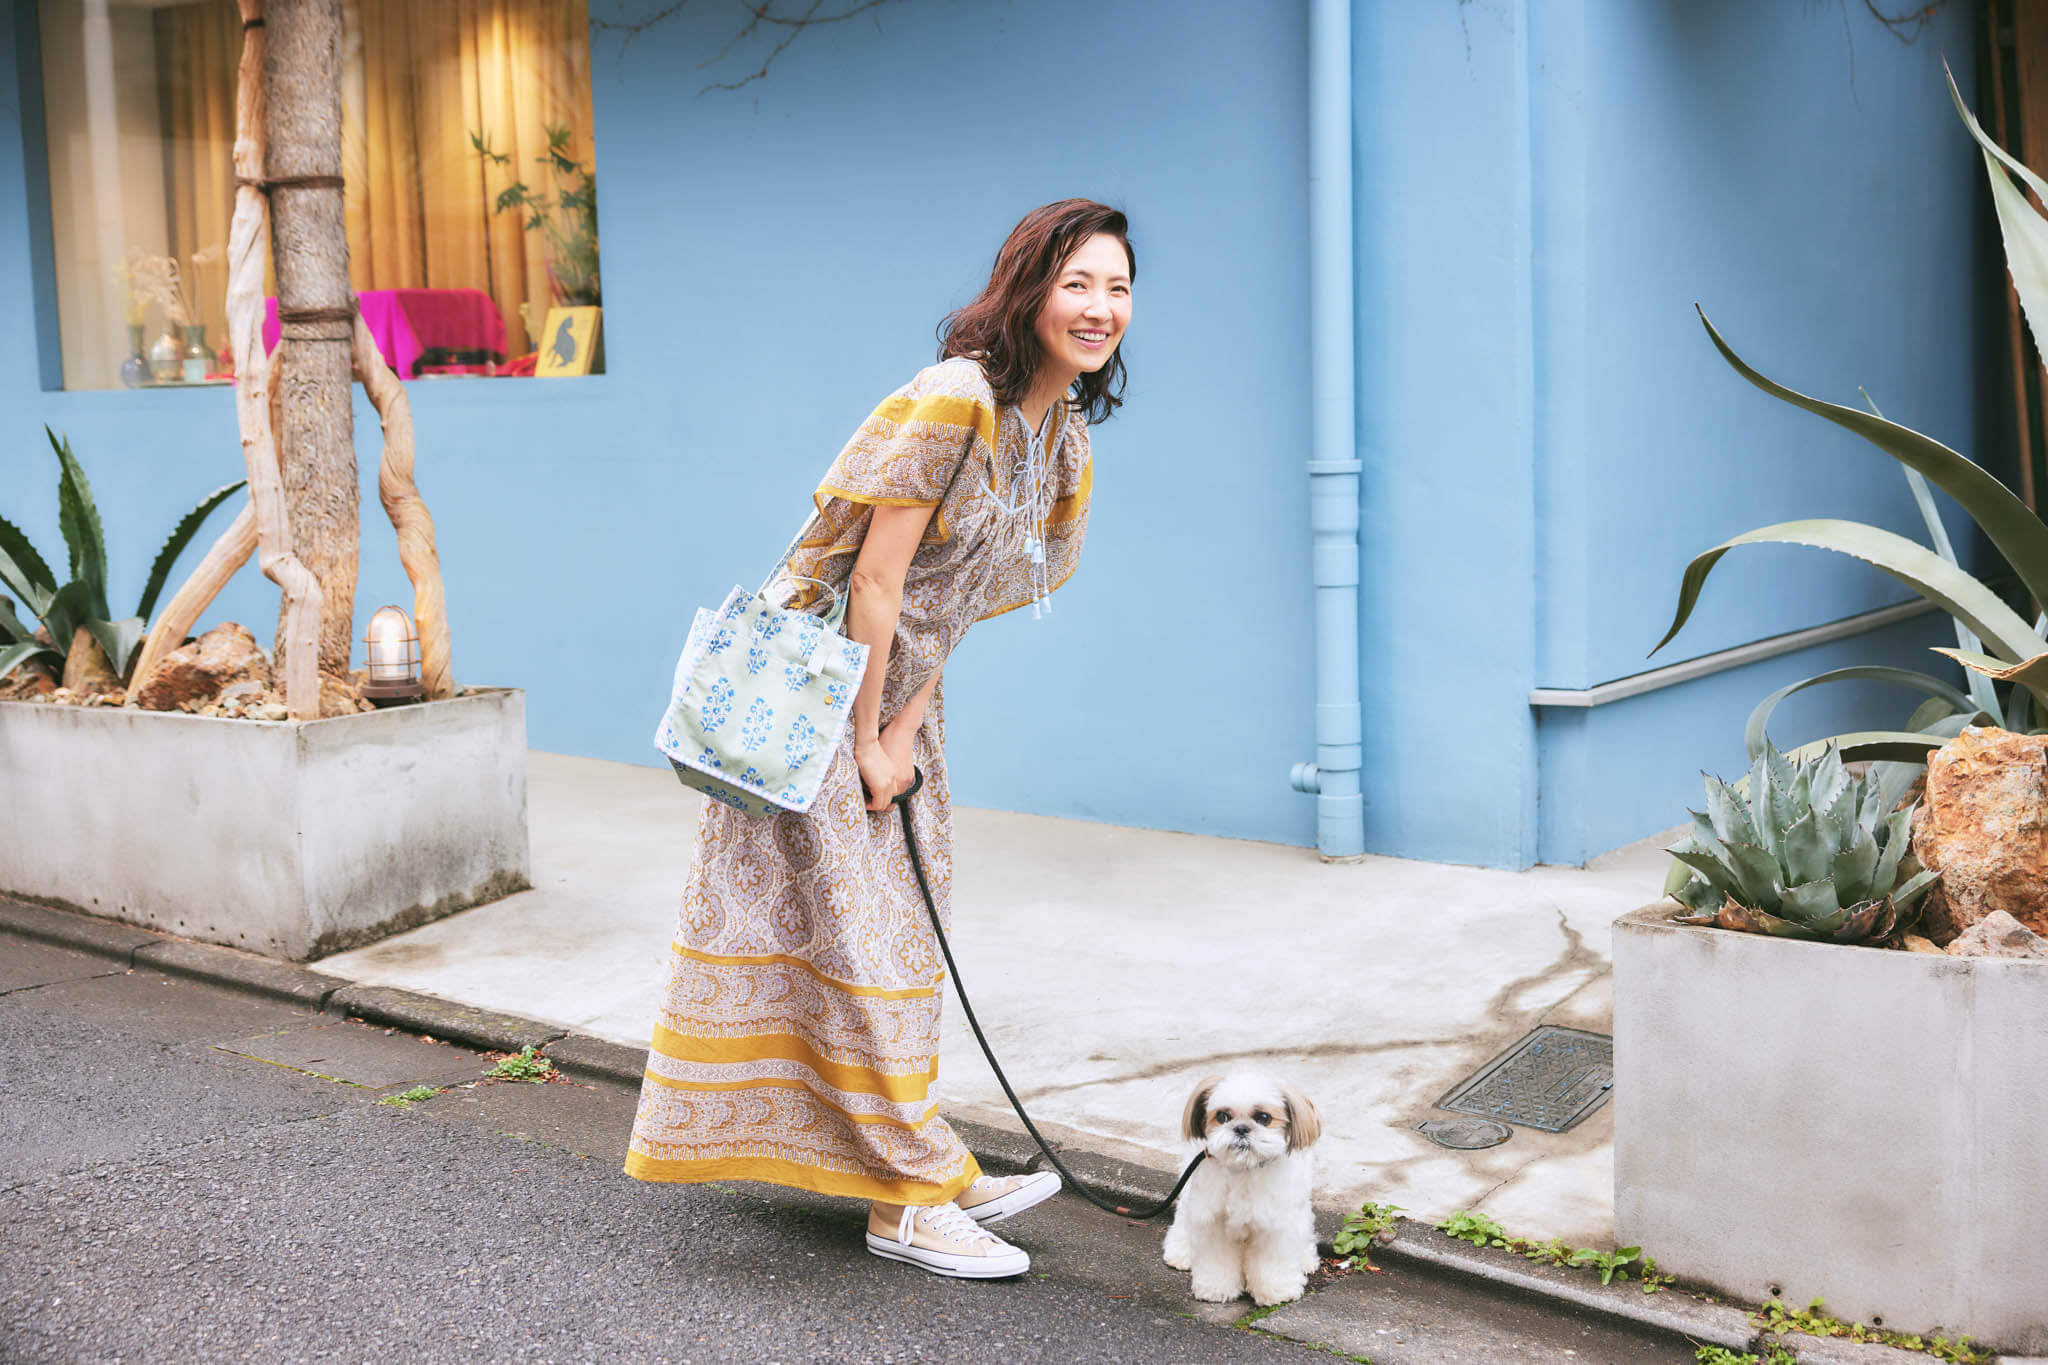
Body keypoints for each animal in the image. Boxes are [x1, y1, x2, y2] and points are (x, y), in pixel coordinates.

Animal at [1163, 1072, 1318, 1309]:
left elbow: (1273, 1262)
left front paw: (1277, 1290)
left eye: (1263, 1117)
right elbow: (1217, 1260)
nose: (1241, 1128)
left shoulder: (1277, 1225)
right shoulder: (1213, 1221)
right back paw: (1181, 1251)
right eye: (1222, 1116)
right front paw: (1215, 1288)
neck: (1244, 1169)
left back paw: (1306, 1259)